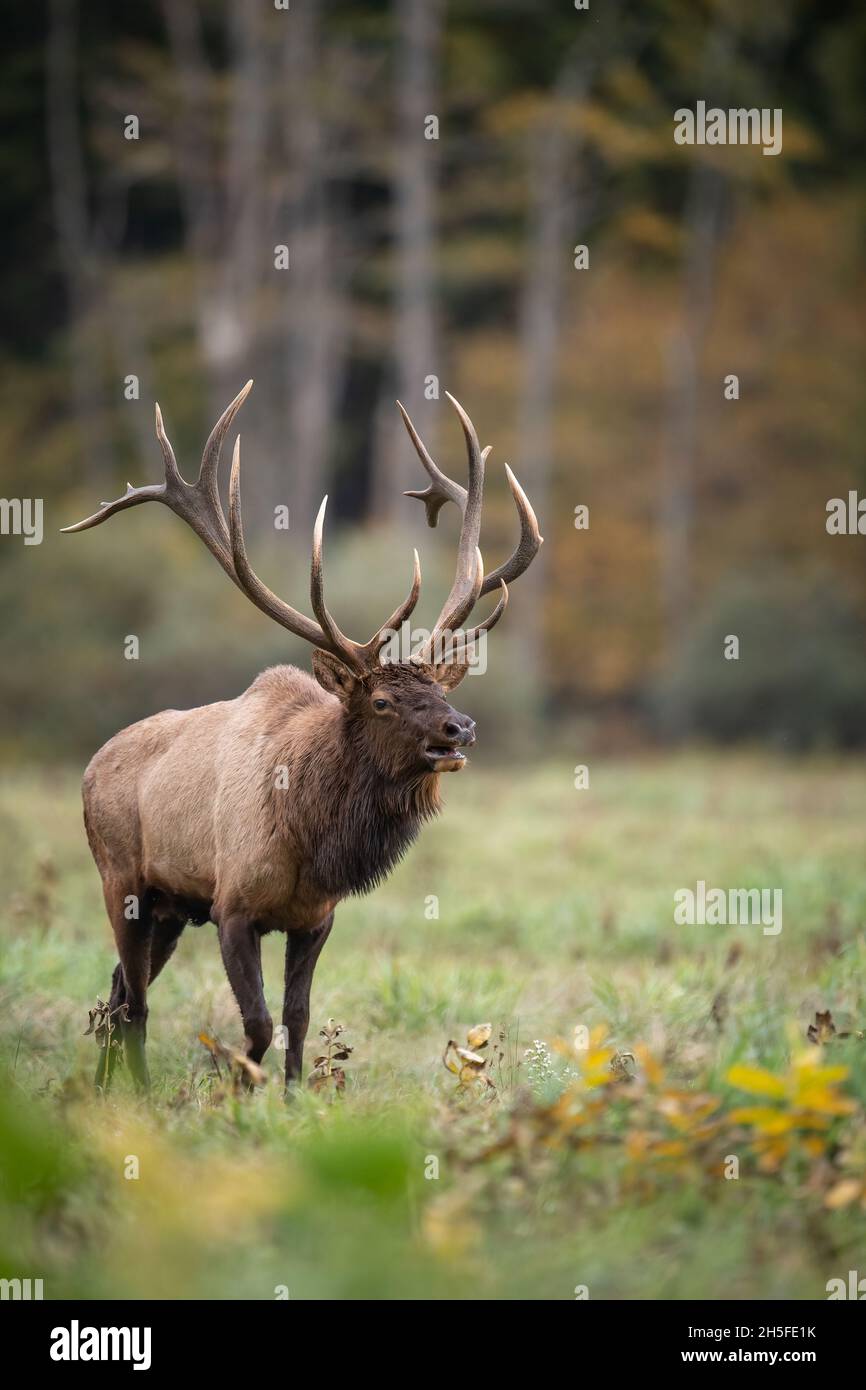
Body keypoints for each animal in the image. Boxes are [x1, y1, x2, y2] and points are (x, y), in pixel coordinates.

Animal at [63, 383, 541, 1091]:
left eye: (442, 690)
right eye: (380, 701)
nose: (461, 727)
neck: (310, 836)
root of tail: (92, 765)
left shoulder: (315, 918)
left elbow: (297, 1019)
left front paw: (292, 1102)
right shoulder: (233, 906)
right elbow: (258, 1024)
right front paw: (235, 1093)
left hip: (170, 906)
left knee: (120, 987)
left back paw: (102, 1087)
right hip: (120, 877)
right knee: (136, 1003)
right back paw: (139, 1094)